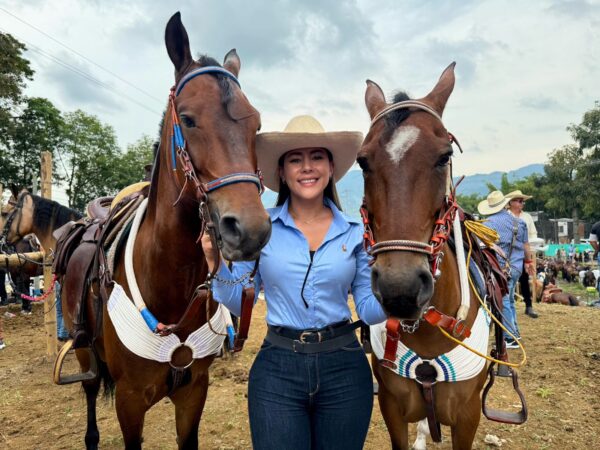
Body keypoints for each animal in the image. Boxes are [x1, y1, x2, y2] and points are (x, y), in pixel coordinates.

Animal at [50, 12, 270, 448]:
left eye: (255, 125)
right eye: (187, 118)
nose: (250, 230)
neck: (170, 282)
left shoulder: (193, 390)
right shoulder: (130, 401)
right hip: (84, 356)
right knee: (89, 395)